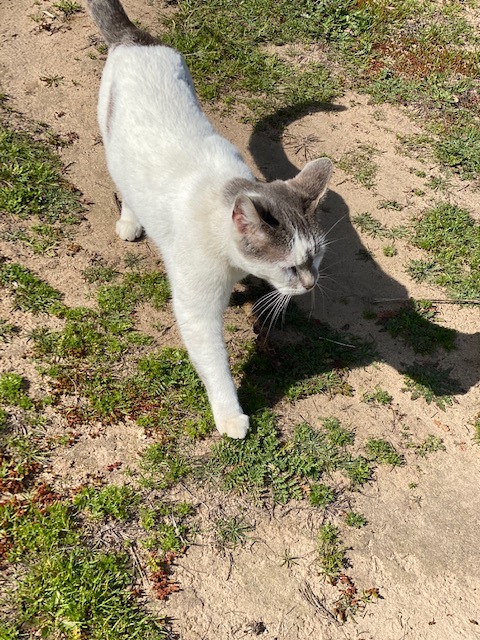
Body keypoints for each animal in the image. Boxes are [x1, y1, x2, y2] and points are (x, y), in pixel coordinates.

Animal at [87, 0, 334, 440]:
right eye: (291, 267)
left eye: (317, 258)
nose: (310, 285)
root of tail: (136, 39)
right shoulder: (197, 310)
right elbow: (216, 366)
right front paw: (230, 415)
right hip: (111, 140)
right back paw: (131, 222)